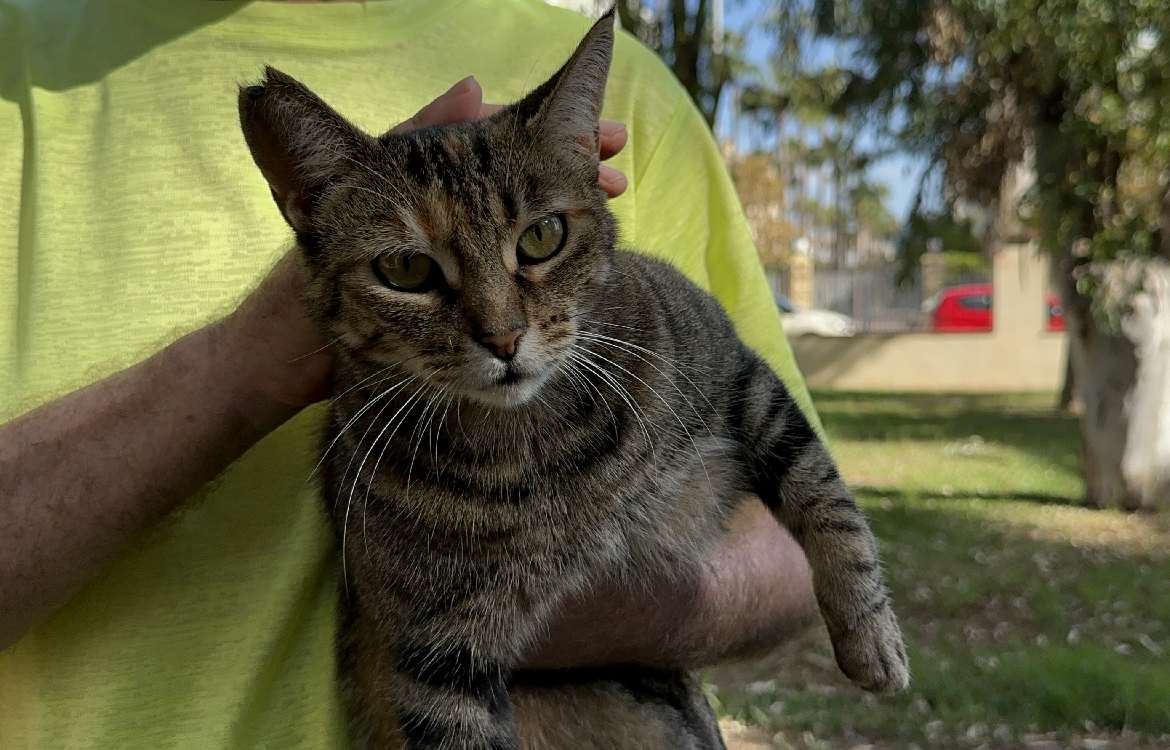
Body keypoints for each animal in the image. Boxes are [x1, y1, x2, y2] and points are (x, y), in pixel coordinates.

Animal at [237, 10, 907, 748]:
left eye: (542, 237)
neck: (535, 441)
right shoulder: (434, 658)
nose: (503, 338)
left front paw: (871, 635)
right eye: (405, 270)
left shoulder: (733, 365)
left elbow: (823, 491)